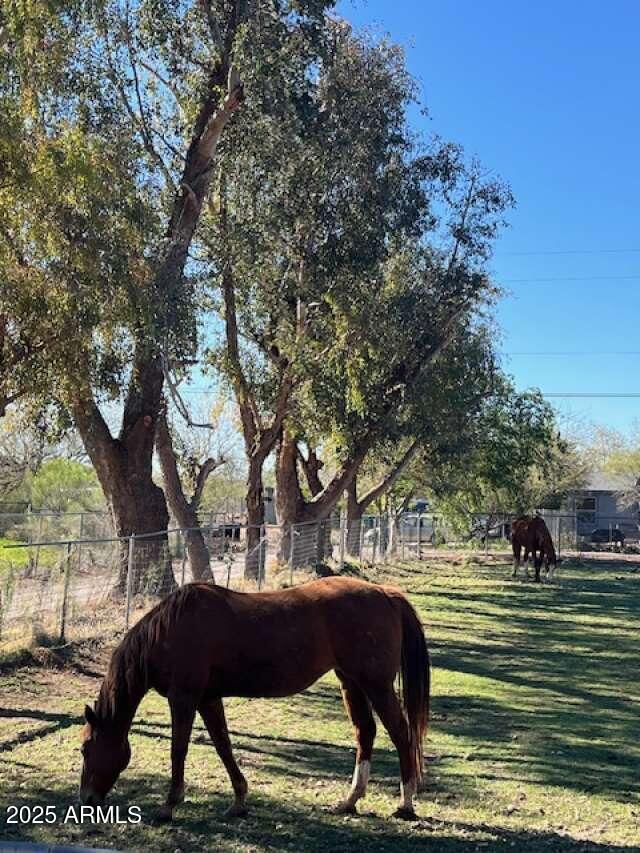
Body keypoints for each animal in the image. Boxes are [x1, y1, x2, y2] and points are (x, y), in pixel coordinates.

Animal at [80, 580, 430, 820]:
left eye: (85, 748)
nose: (86, 800)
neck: (170, 631)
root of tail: (385, 593)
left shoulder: (185, 698)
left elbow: (178, 749)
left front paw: (169, 805)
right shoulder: (208, 699)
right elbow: (223, 745)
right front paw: (239, 800)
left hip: (376, 685)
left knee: (401, 734)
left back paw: (405, 803)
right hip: (351, 682)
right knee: (365, 732)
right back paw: (349, 800)